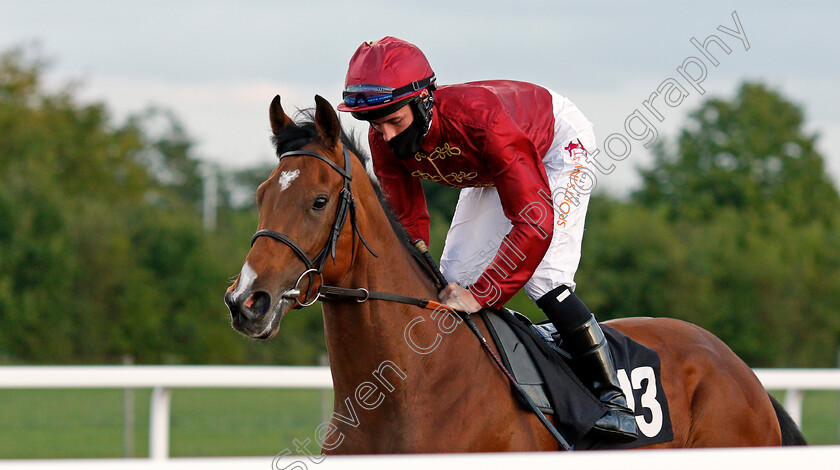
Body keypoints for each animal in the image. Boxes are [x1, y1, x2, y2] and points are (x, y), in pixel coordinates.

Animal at [226, 94, 804, 452]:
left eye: (319, 201)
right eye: (260, 195)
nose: (246, 301)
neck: (406, 388)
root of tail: (741, 370)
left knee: (553, 283)